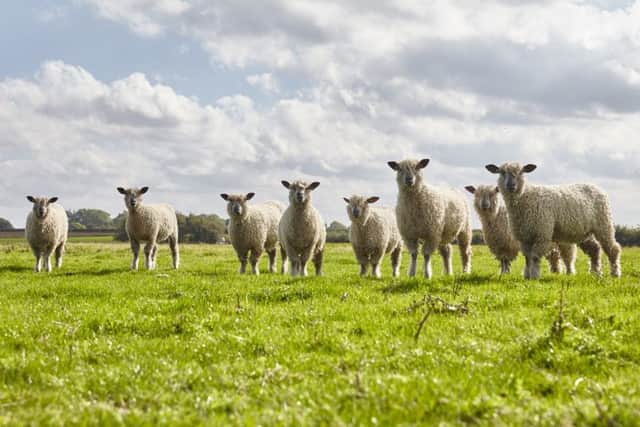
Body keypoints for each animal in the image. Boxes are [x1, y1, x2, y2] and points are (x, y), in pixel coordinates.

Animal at [464, 185, 602, 275]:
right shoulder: (500, 245)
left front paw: (505, 274)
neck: (495, 217)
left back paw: (574, 272)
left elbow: (506, 260)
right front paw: (503, 273)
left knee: (572, 255)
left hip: (569, 238)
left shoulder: (508, 244)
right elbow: (503, 260)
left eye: (492, 194)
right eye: (476, 194)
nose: (484, 205)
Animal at [485, 162, 620, 279]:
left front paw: (534, 276)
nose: (511, 186)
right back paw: (596, 273)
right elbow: (527, 258)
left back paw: (615, 273)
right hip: (585, 231)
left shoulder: (542, 233)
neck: (525, 197)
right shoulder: (524, 237)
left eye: (521, 172)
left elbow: (534, 257)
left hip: (604, 223)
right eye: (502, 172)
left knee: (613, 248)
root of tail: (596, 187)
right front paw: (527, 275)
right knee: (595, 249)